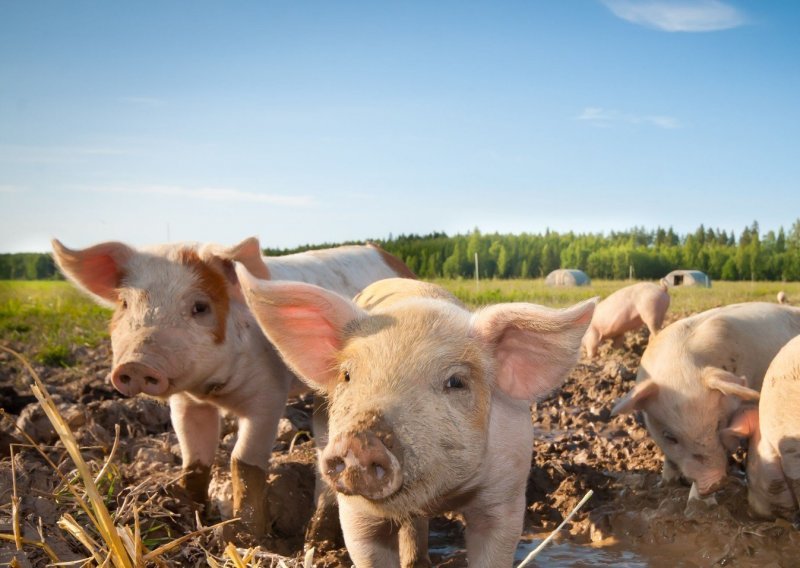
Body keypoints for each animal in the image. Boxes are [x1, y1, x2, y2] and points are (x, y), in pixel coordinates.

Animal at [50, 235, 416, 536]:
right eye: (125, 304)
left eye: (200, 307)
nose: (136, 364)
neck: (214, 391)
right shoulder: (186, 402)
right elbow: (194, 459)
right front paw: (191, 515)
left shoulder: (269, 395)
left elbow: (243, 461)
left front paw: (246, 536)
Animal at [238, 272, 592, 568]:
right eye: (347, 375)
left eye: (456, 382)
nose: (360, 441)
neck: (440, 496)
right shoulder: (357, 514)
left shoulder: (507, 494)